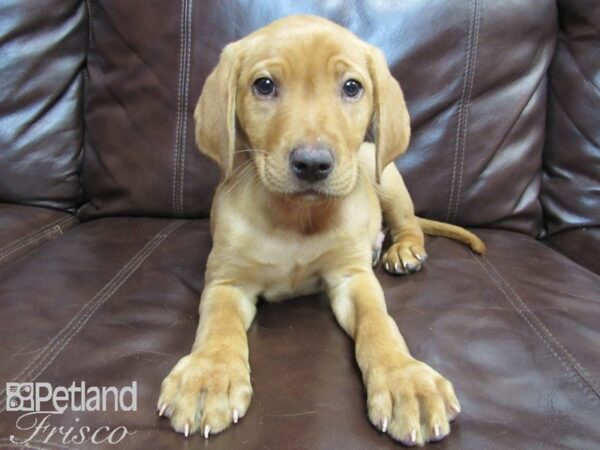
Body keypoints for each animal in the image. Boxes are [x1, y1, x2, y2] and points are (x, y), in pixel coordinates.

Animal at [157, 14, 486, 446]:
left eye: (351, 87)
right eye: (264, 85)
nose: (312, 164)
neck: (297, 218)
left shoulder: (352, 277)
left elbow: (380, 325)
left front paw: (404, 380)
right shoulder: (227, 280)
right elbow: (219, 324)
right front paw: (208, 375)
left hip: (382, 172)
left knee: (409, 222)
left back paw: (403, 252)